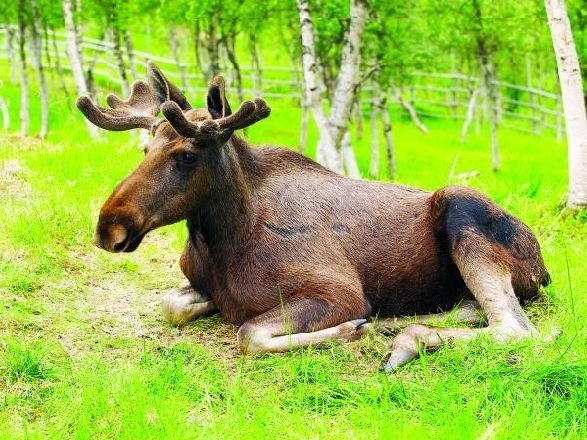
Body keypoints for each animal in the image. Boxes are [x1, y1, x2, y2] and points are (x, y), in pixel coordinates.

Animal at [77, 62, 552, 372]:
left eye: (188, 156)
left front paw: (350, 330)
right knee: (474, 309)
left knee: (515, 328)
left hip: (461, 207)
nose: (108, 227)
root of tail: (544, 268)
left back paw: (404, 338)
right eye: (145, 148)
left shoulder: (338, 292)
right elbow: (172, 304)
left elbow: (248, 334)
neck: (223, 238)